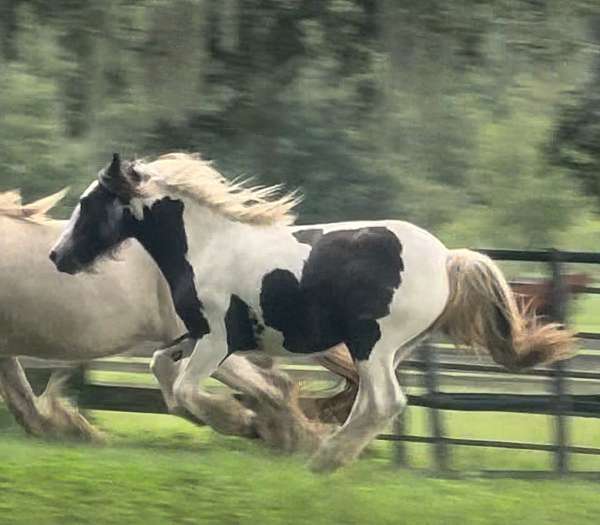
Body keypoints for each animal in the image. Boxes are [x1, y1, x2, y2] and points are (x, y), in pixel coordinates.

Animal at [49, 151, 576, 470]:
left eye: (90, 204)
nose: (57, 256)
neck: (207, 246)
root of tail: (448, 259)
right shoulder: (198, 334)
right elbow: (162, 370)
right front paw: (236, 421)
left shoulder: (219, 338)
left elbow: (184, 388)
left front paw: (242, 422)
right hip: (392, 350)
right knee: (369, 403)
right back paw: (328, 452)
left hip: (373, 342)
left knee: (386, 402)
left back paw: (324, 460)